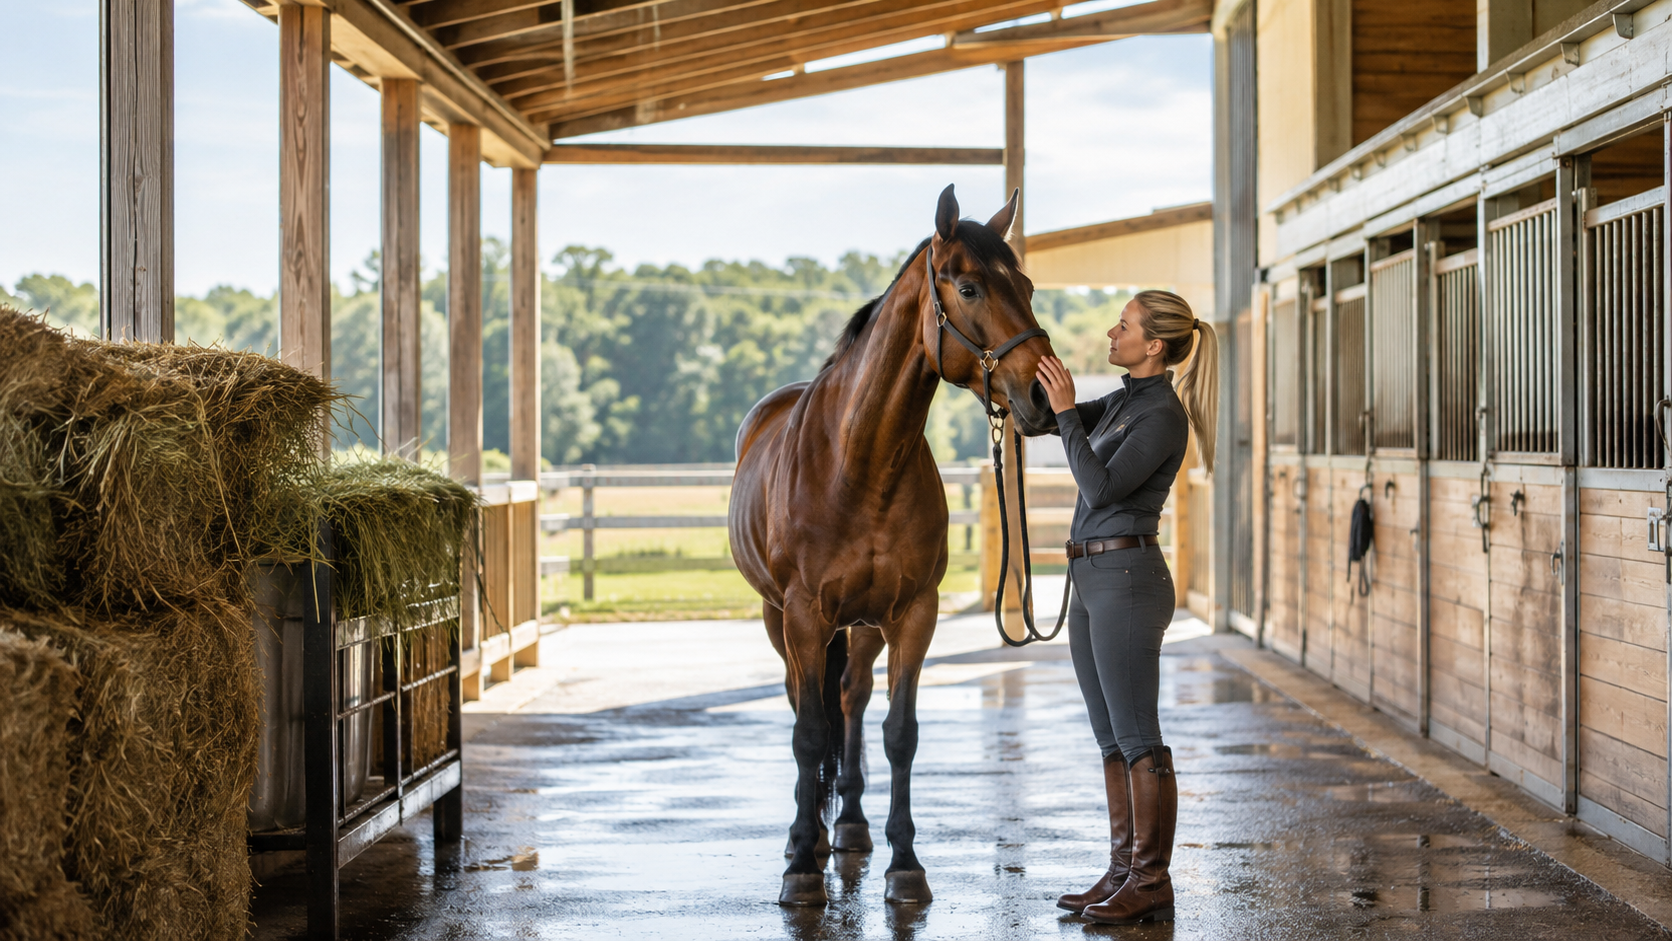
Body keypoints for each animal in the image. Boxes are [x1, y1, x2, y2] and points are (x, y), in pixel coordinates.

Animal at [728, 185, 1058, 906]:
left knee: (850, 696)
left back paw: (848, 825)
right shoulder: (803, 615)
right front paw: (801, 868)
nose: (1043, 395)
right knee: (806, 703)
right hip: (781, 619)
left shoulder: (913, 614)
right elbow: (808, 732)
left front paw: (906, 863)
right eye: (969, 286)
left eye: (1024, 284)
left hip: (862, 624)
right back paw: (806, 839)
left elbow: (899, 733)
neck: (859, 462)